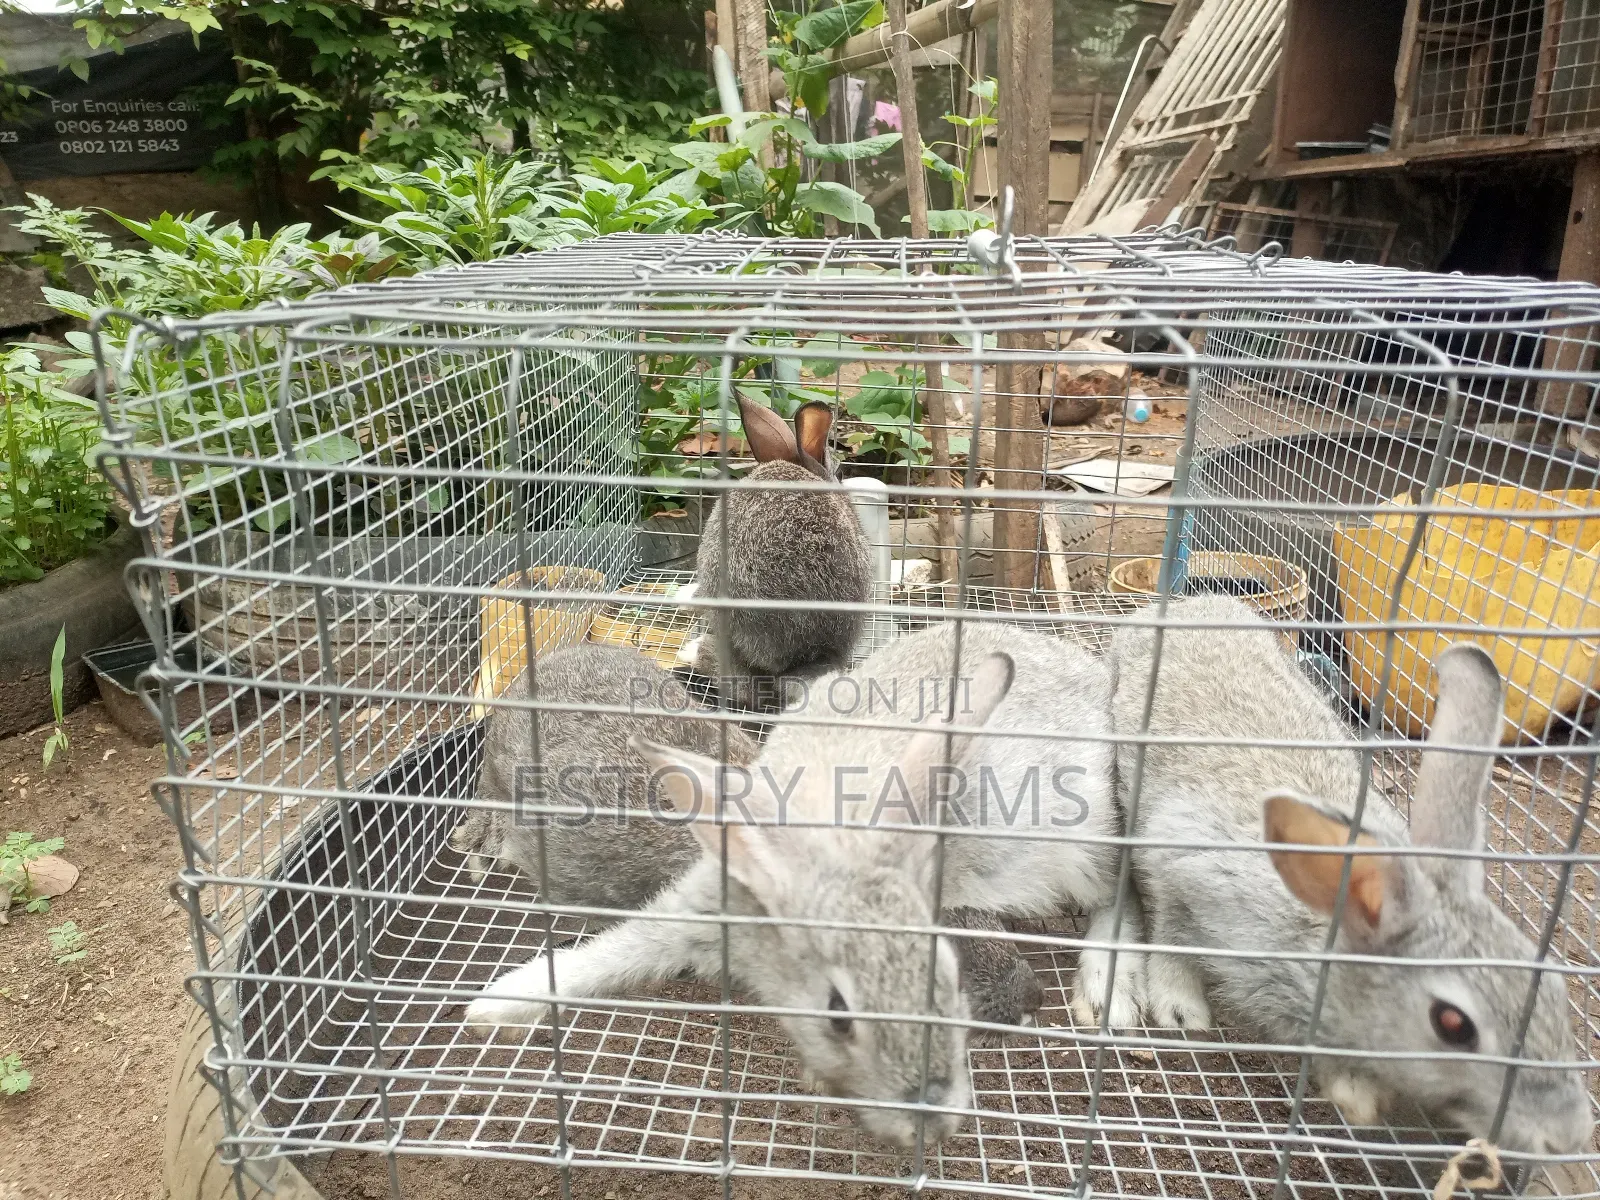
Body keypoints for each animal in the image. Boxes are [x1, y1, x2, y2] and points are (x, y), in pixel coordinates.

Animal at [465, 620, 1138, 1151]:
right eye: (838, 1014)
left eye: (944, 976)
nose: (936, 1118)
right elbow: (614, 954)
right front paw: (492, 1008)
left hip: (1088, 840)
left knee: (1125, 895)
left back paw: (1107, 992)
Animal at [1108, 594, 1593, 1157]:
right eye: (1453, 1025)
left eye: (1557, 990)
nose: (1568, 1137)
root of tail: (1185, 603)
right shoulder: (1181, 868)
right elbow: (1172, 938)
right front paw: (1182, 1012)